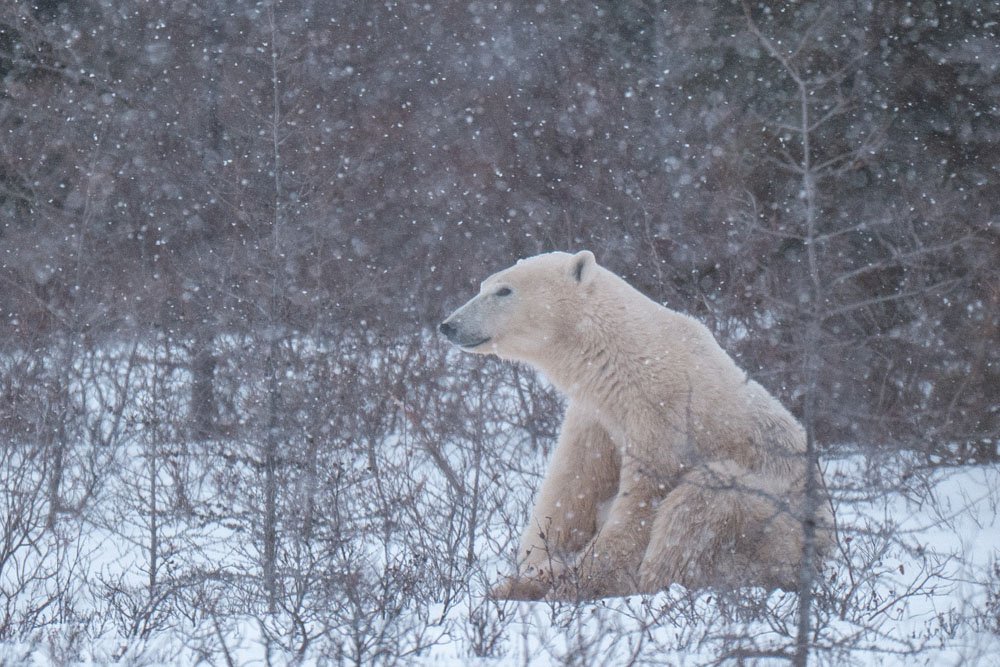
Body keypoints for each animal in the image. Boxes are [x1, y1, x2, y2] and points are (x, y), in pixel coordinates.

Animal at [440, 249, 836, 600]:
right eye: (483, 284)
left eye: (504, 290)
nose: (448, 325)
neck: (632, 359)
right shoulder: (595, 416)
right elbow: (571, 490)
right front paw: (527, 575)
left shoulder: (664, 414)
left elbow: (643, 500)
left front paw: (578, 582)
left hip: (776, 527)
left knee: (704, 500)